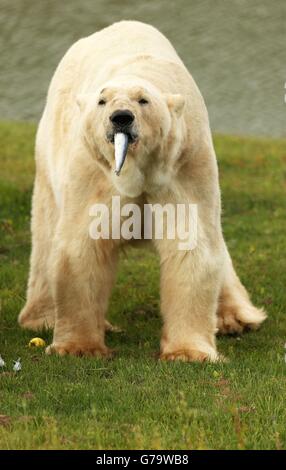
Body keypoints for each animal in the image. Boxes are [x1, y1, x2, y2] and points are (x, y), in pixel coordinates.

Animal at [19, 20, 268, 362]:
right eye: (102, 100)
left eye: (143, 100)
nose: (121, 118)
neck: (138, 170)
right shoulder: (92, 172)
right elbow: (83, 244)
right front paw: (78, 347)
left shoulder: (183, 167)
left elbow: (190, 244)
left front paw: (188, 352)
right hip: (49, 157)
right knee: (46, 235)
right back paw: (43, 318)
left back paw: (236, 318)